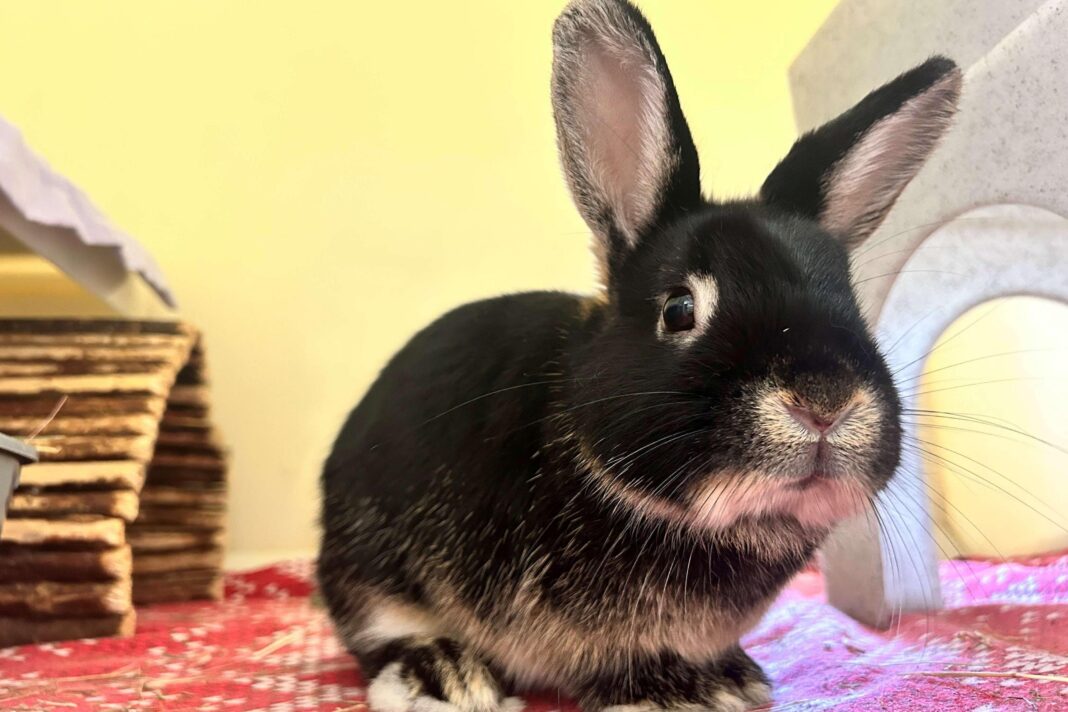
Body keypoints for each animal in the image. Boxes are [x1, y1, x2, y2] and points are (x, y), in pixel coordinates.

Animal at [317, 0, 961, 709]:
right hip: (369, 571)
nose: (825, 400)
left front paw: (733, 678)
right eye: (679, 308)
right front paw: (679, 692)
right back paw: (443, 675)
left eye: (852, 304)